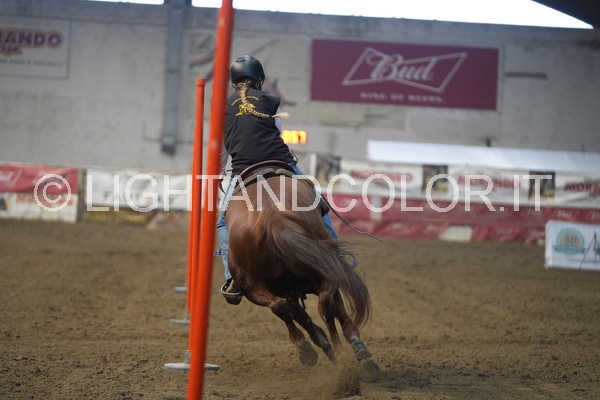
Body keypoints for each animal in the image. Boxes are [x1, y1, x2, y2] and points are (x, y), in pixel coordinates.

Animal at [224, 161, 381, 383]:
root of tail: (271, 217)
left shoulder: (292, 289)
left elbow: (301, 314)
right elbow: (319, 313)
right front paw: (360, 355)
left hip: (253, 286)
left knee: (284, 306)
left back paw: (310, 350)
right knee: (320, 304)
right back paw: (339, 357)